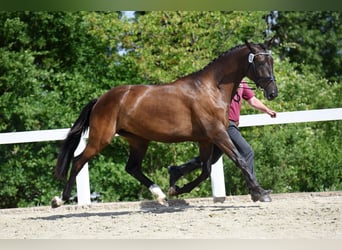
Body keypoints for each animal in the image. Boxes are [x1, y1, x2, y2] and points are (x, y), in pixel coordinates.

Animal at [50, 38, 278, 208]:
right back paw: (59, 200)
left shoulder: (206, 139)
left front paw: (176, 189)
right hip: (101, 138)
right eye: (259, 63)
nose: (273, 93)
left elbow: (206, 170)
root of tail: (100, 99)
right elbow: (239, 160)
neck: (212, 88)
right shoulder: (218, 134)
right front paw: (260, 192)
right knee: (78, 161)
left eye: (272, 62)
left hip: (139, 140)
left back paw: (160, 195)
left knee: (132, 168)